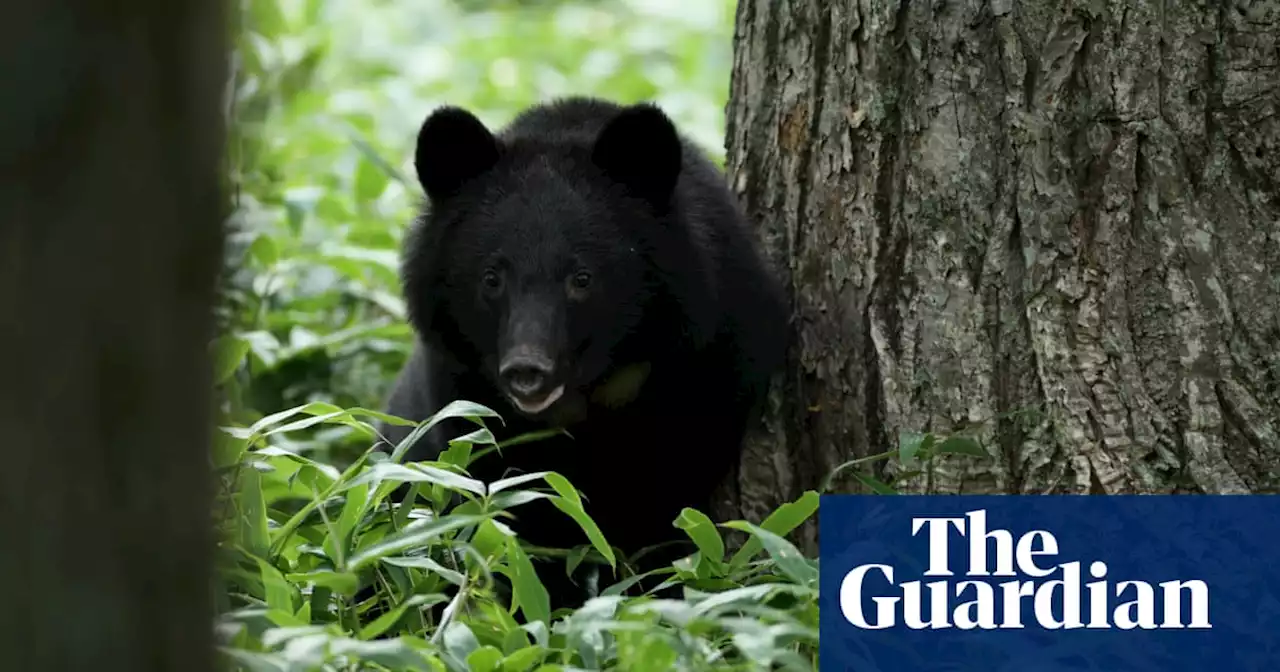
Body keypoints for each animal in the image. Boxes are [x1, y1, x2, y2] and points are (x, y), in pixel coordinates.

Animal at [373, 96, 783, 609]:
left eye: (581, 278)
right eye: (492, 277)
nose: (527, 371)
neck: (592, 392)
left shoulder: (705, 367)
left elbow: (665, 510)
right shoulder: (465, 389)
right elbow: (518, 507)